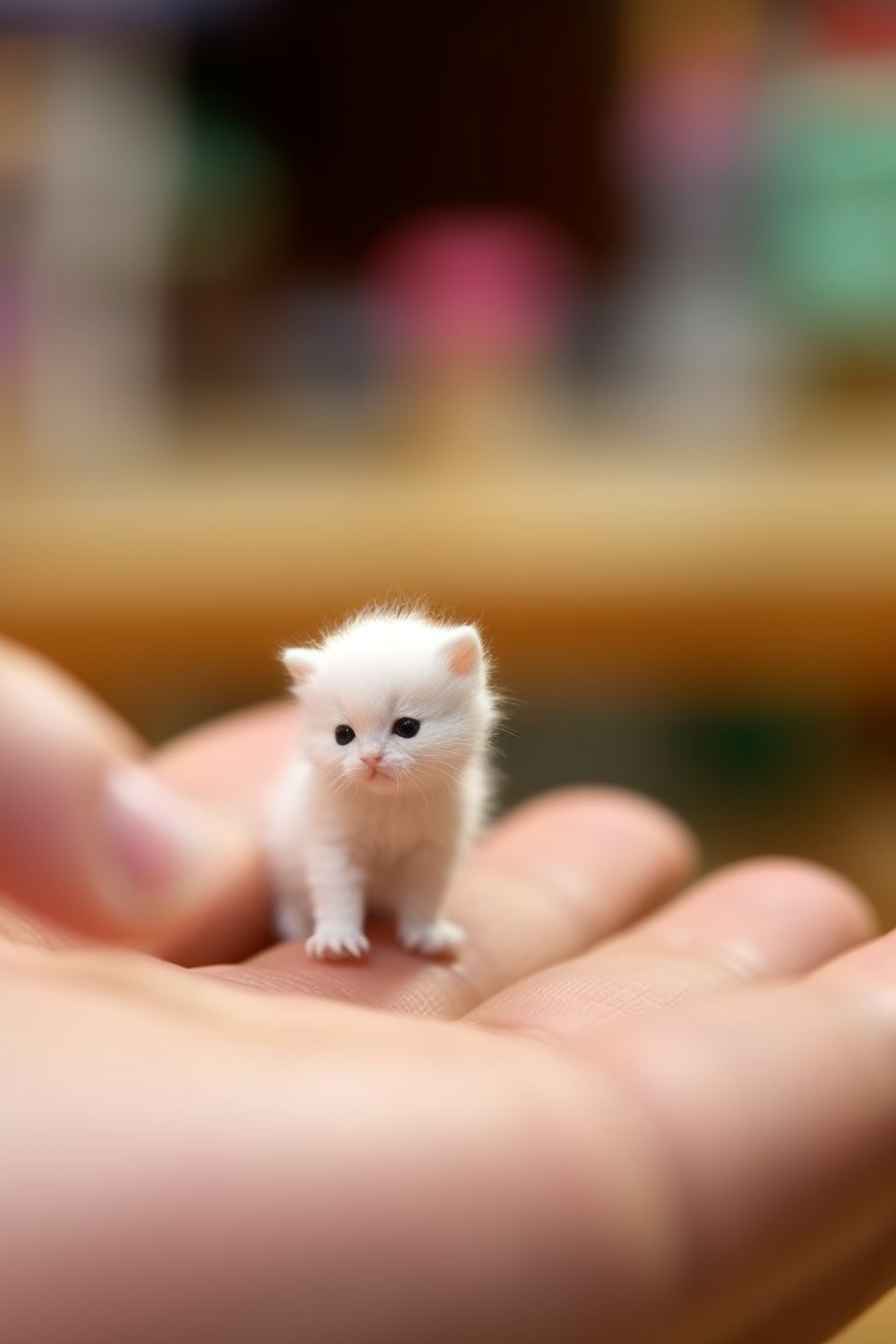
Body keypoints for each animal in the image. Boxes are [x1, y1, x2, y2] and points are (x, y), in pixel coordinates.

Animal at [265, 610, 502, 956]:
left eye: (407, 727)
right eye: (343, 734)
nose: (371, 758)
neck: (391, 801)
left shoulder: (432, 849)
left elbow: (424, 895)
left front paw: (425, 935)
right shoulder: (334, 841)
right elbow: (337, 891)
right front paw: (337, 938)